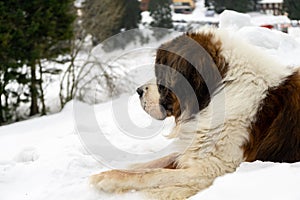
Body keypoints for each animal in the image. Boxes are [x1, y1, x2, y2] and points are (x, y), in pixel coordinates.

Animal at [89, 28, 300, 200]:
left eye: (161, 73)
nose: (139, 90)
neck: (217, 92)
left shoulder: (216, 168)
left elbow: (155, 174)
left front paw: (109, 178)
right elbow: (162, 160)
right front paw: (125, 167)